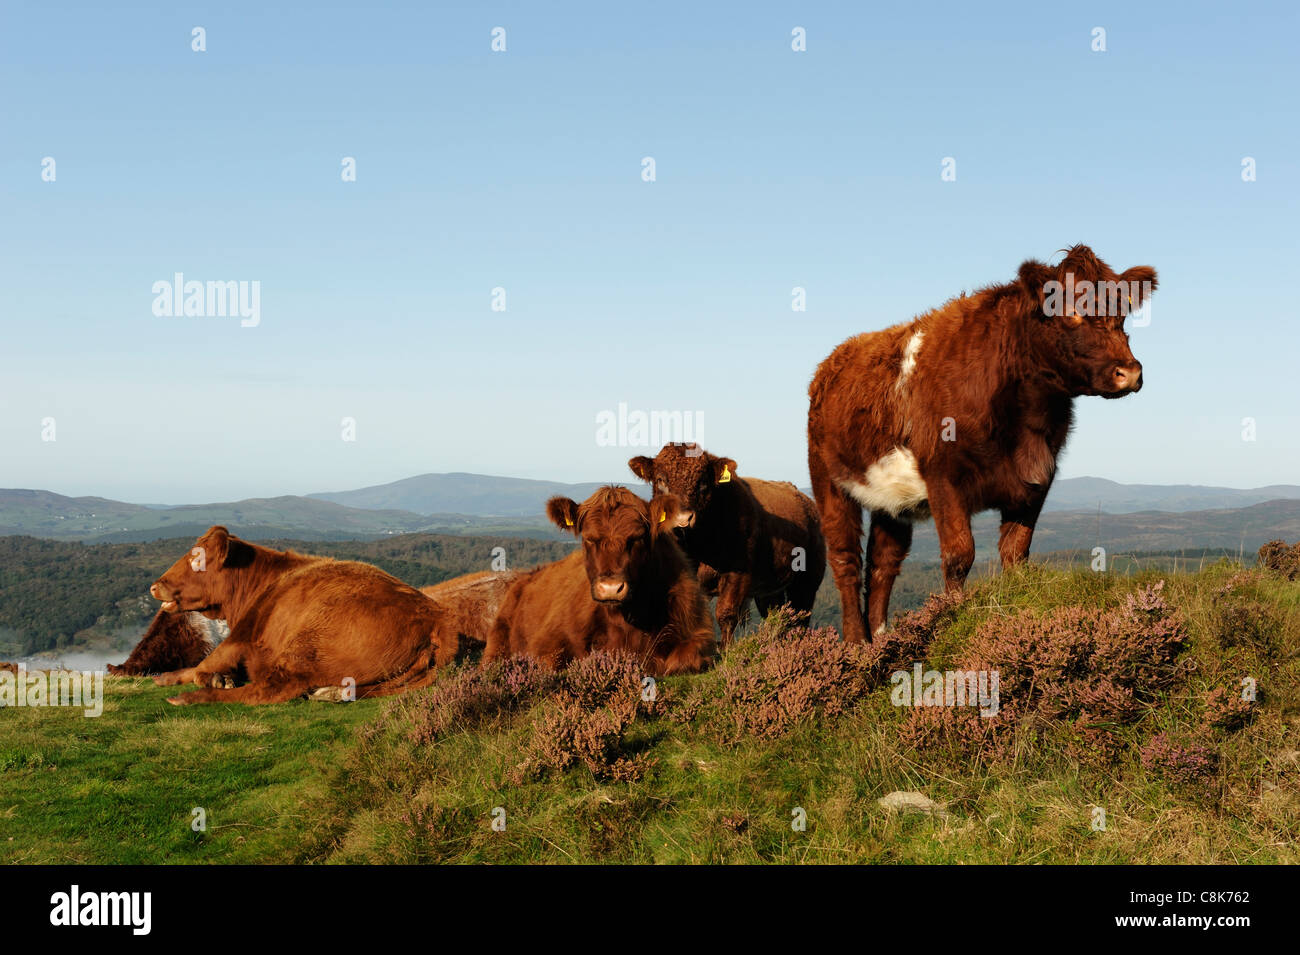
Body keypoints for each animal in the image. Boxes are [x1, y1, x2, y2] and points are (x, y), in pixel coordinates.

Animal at [149, 526, 455, 704]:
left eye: (197, 558)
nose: (155, 585)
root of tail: (435, 617)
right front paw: (168, 676)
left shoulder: (241, 637)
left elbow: (202, 667)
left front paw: (213, 679)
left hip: (305, 646)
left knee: (269, 690)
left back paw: (191, 698)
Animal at [484, 487, 715, 675]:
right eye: (588, 538)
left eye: (636, 537)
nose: (611, 588)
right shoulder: (546, 645)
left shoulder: (699, 633)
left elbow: (682, 661)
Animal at [628, 443, 826, 645]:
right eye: (660, 480)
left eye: (703, 482)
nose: (682, 518)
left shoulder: (738, 574)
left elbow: (726, 614)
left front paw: (726, 649)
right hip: (769, 589)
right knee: (776, 616)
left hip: (807, 580)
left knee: (801, 617)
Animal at [808, 244, 1156, 643]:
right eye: (1069, 312)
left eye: (1122, 313)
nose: (1129, 372)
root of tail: (834, 360)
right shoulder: (943, 477)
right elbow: (960, 555)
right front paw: (949, 618)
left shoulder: (1037, 480)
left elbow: (1015, 552)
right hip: (829, 481)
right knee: (845, 559)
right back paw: (855, 641)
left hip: (891, 499)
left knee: (883, 564)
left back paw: (881, 639)